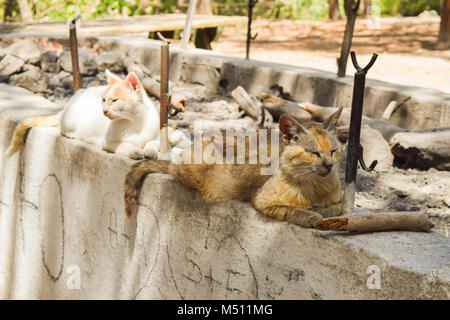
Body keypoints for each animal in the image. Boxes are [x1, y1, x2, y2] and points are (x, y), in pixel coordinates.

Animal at [5, 70, 185, 160]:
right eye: (104, 100)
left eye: (114, 100)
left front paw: (149, 151)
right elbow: (124, 145)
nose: (104, 110)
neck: (134, 122)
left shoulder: (157, 137)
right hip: (71, 122)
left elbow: (153, 144)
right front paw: (135, 151)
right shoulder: (107, 142)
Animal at [125, 107, 342, 228]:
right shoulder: (262, 201)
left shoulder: (339, 198)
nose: (329, 165)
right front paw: (312, 215)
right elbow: (292, 210)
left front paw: (323, 210)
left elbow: (335, 207)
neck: (315, 185)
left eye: (333, 151)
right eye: (313, 153)